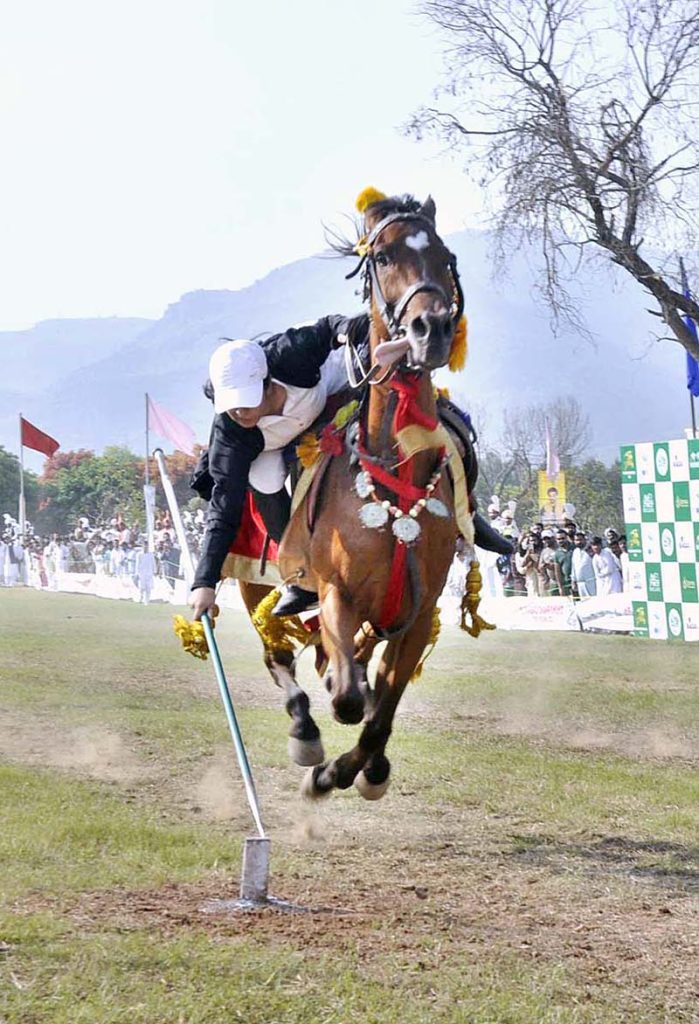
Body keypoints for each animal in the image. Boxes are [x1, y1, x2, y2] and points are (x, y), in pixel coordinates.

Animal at [236, 190, 470, 798]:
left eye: (445, 257)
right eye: (383, 257)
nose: (431, 328)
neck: (397, 468)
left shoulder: (418, 611)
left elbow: (381, 711)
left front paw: (362, 770)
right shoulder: (336, 592)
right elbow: (347, 698)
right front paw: (326, 770)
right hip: (252, 576)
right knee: (279, 653)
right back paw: (304, 730)